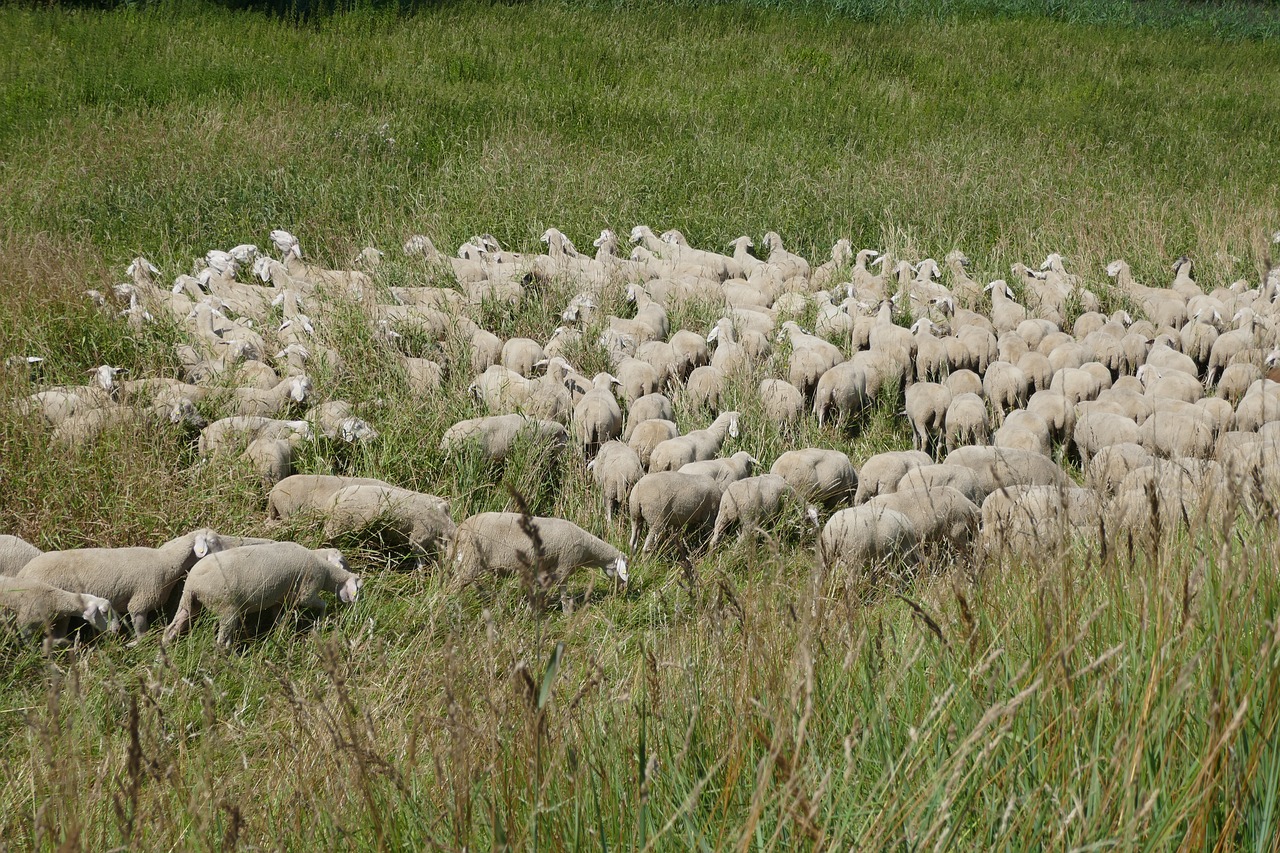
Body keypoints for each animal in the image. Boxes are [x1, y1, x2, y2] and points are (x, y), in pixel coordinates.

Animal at [162, 545, 360, 645]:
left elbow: (279, 618)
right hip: (226, 607)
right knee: (222, 641)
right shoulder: (307, 592)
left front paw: (280, 634)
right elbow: (321, 604)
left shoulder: (281, 599)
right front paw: (321, 622)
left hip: (189, 603)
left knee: (172, 628)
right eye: (343, 562)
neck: (324, 568)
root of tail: (193, 583)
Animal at [450, 512, 629, 596]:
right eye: (625, 567)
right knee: (457, 584)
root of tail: (462, 527)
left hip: (467, 559)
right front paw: (567, 613)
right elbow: (563, 591)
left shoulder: (547, 567)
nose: (624, 589)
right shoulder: (565, 564)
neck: (588, 551)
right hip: (472, 558)